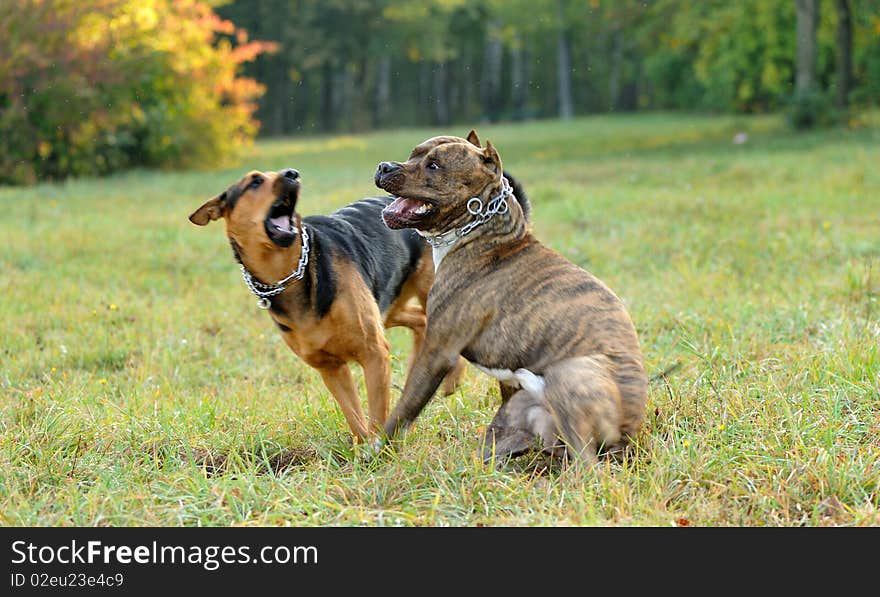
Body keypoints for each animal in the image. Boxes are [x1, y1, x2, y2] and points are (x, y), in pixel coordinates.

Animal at [189, 165, 464, 440]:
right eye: (255, 182)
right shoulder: (330, 367)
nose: (292, 173)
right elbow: (354, 418)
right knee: (421, 320)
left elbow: (376, 416)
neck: (293, 274)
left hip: (428, 290)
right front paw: (363, 446)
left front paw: (380, 447)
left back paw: (448, 378)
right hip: (389, 302)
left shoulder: (374, 353)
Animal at [372, 130, 648, 466]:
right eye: (413, 154)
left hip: (570, 375)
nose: (384, 167)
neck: (484, 235)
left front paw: (373, 453)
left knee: (586, 463)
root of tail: (628, 436)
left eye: (434, 166)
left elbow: (404, 408)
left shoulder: (438, 350)